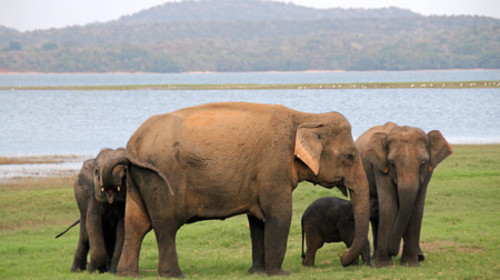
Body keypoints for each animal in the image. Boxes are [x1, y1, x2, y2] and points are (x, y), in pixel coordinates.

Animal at [101, 101, 370, 276]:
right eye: (349, 156)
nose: (343, 259)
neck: (305, 116)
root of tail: (133, 144)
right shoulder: (273, 166)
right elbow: (280, 215)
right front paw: (279, 273)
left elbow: (258, 221)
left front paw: (257, 272)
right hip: (161, 178)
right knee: (165, 226)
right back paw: (174, 274)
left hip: (139, 179)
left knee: (136, 225)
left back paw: (128, 274)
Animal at [356, 122, 454, 266]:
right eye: (392, 163)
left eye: (423, 164)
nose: (393, 252)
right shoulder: (380, 167)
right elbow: (389, 206)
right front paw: (384, 265)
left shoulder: (428, 172)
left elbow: (416, 208)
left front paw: (410, 264)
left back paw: (419, 256)